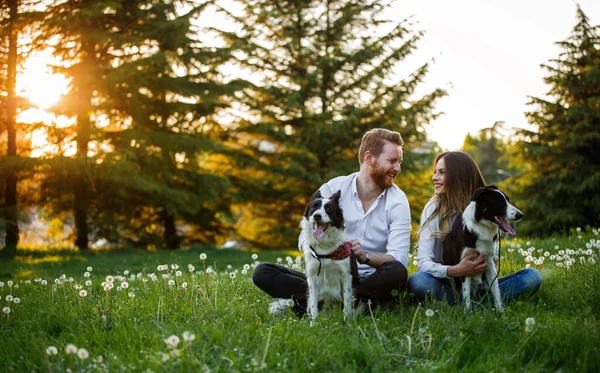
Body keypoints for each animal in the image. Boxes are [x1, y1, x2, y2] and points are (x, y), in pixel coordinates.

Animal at [298, 190, 358, 318]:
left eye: (329, 208)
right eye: (313, 208)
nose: (317, 216)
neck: (324, 247)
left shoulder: (346, 275)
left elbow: (347, 302)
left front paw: (346, 320)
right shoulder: (312, 277)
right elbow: (313, 305)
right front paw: (314, 321)